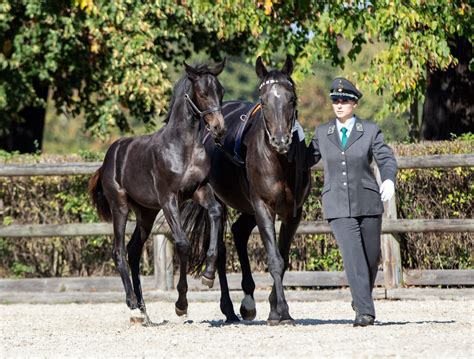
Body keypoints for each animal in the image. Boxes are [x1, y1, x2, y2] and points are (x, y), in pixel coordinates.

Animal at [90, 59, 228, 326]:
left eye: (222, 91)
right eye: (202, 93)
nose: (219, 128)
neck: (183, 147)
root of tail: (109, 157)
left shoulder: (199, 191)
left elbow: (216, 212)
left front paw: (208, 275)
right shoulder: (169, 199)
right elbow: (183, 243)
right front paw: (181, 305)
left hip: (146, 213)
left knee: (133, 250)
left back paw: (144, 312)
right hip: (120, 207)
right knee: (119, 251)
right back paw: (133, 305)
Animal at [184, 56, 312, 326]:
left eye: (292, 99)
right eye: (263, 101)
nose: (280, 141)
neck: (278, 161)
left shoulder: (293, 213)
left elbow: (283, 259)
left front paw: (275, 310)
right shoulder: (263, 207)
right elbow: (274, 259)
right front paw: (282, 311)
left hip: (248, 207)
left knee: (239, 232)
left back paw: (248, 303)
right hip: (222, 201)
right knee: (222, 248)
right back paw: (230, 309)